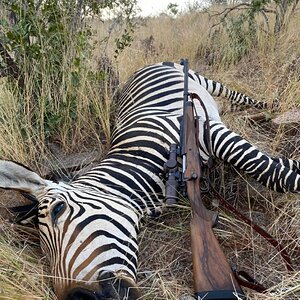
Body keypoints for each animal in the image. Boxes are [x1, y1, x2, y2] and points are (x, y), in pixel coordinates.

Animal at [0, 61, 298, 300]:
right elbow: (277, 168)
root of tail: (141, 69)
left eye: (58, 210)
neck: (136, 159)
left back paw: (268, 106)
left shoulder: (208, 130)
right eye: (41, 250)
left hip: (203, 81)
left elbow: (273, 172)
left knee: (233, 93)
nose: (79, 298)